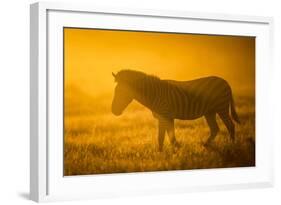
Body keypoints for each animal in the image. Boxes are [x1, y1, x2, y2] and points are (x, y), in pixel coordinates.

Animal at [110, 69, 240, 151]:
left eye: (121, 92)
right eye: (115, 91)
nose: (113, 111)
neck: (154, 94)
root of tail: (225, 82)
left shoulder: (165, 115)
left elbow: (165, 137)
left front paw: (168, 152)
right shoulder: (165, 117)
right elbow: (166, 136)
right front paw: (170, 151)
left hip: (221, 107)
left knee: (230, 125)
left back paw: (232, 145)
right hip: (210, 111)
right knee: (215, 129)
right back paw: (206, 145)